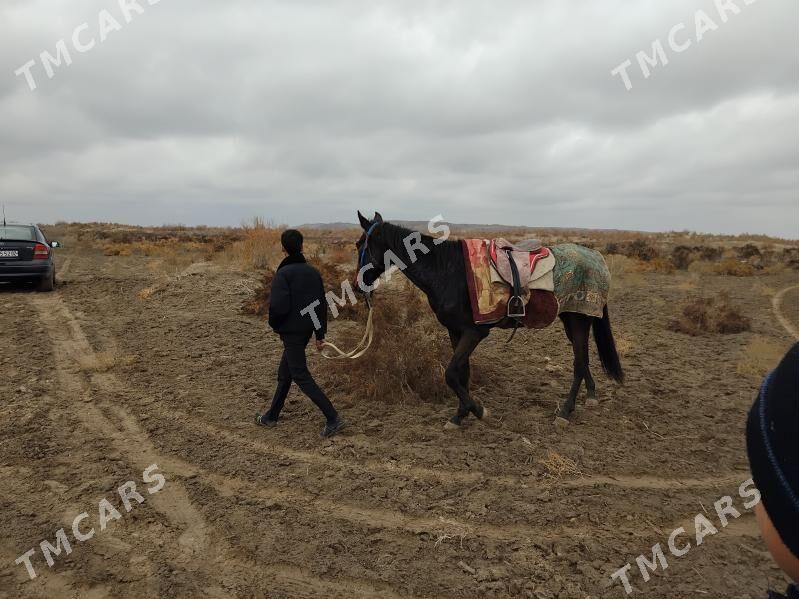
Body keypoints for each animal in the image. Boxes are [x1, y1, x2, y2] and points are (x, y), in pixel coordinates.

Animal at [356, 210, 624, 426]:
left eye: (360, 245)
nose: (358, 287)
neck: (447, 271)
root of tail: (596, 258)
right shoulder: (455, 331)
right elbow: (462, 373)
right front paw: (460, 415)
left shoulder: (475, 332)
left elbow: (451, 373)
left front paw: (478, 411)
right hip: (572, 319)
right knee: (584, 359)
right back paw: (590, 396)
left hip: (579, 319)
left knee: (579, 364)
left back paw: (565, 412)